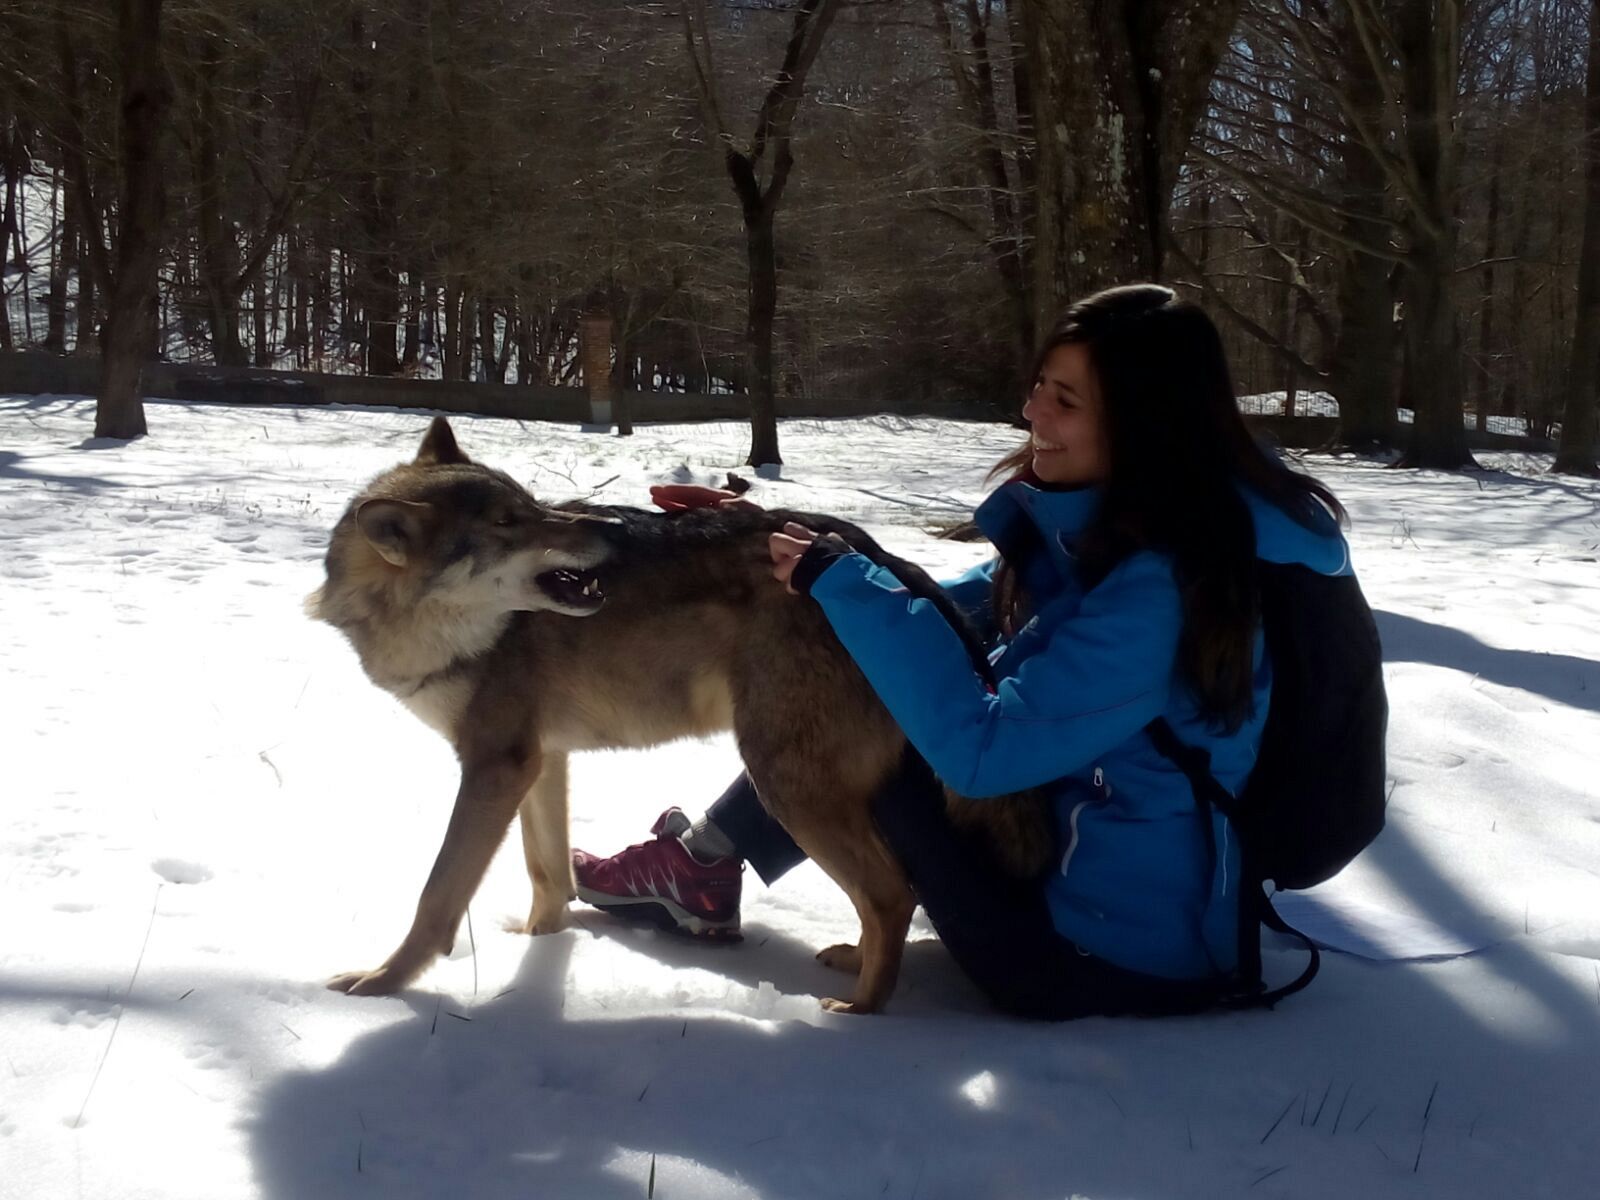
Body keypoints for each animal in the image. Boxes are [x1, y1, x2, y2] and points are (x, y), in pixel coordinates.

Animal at [312, 419, 1049, 1011]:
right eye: (506, 523)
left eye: (530, 506)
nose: (609, 528)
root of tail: (887, 563)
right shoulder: (539, 761)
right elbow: (547, 876)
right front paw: (539, 947)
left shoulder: (495, 766)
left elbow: (437, 893)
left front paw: (380, 985)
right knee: (888, 895)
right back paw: (853, 963)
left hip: (785, 782)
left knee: (893, 893)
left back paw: (859, 1011)